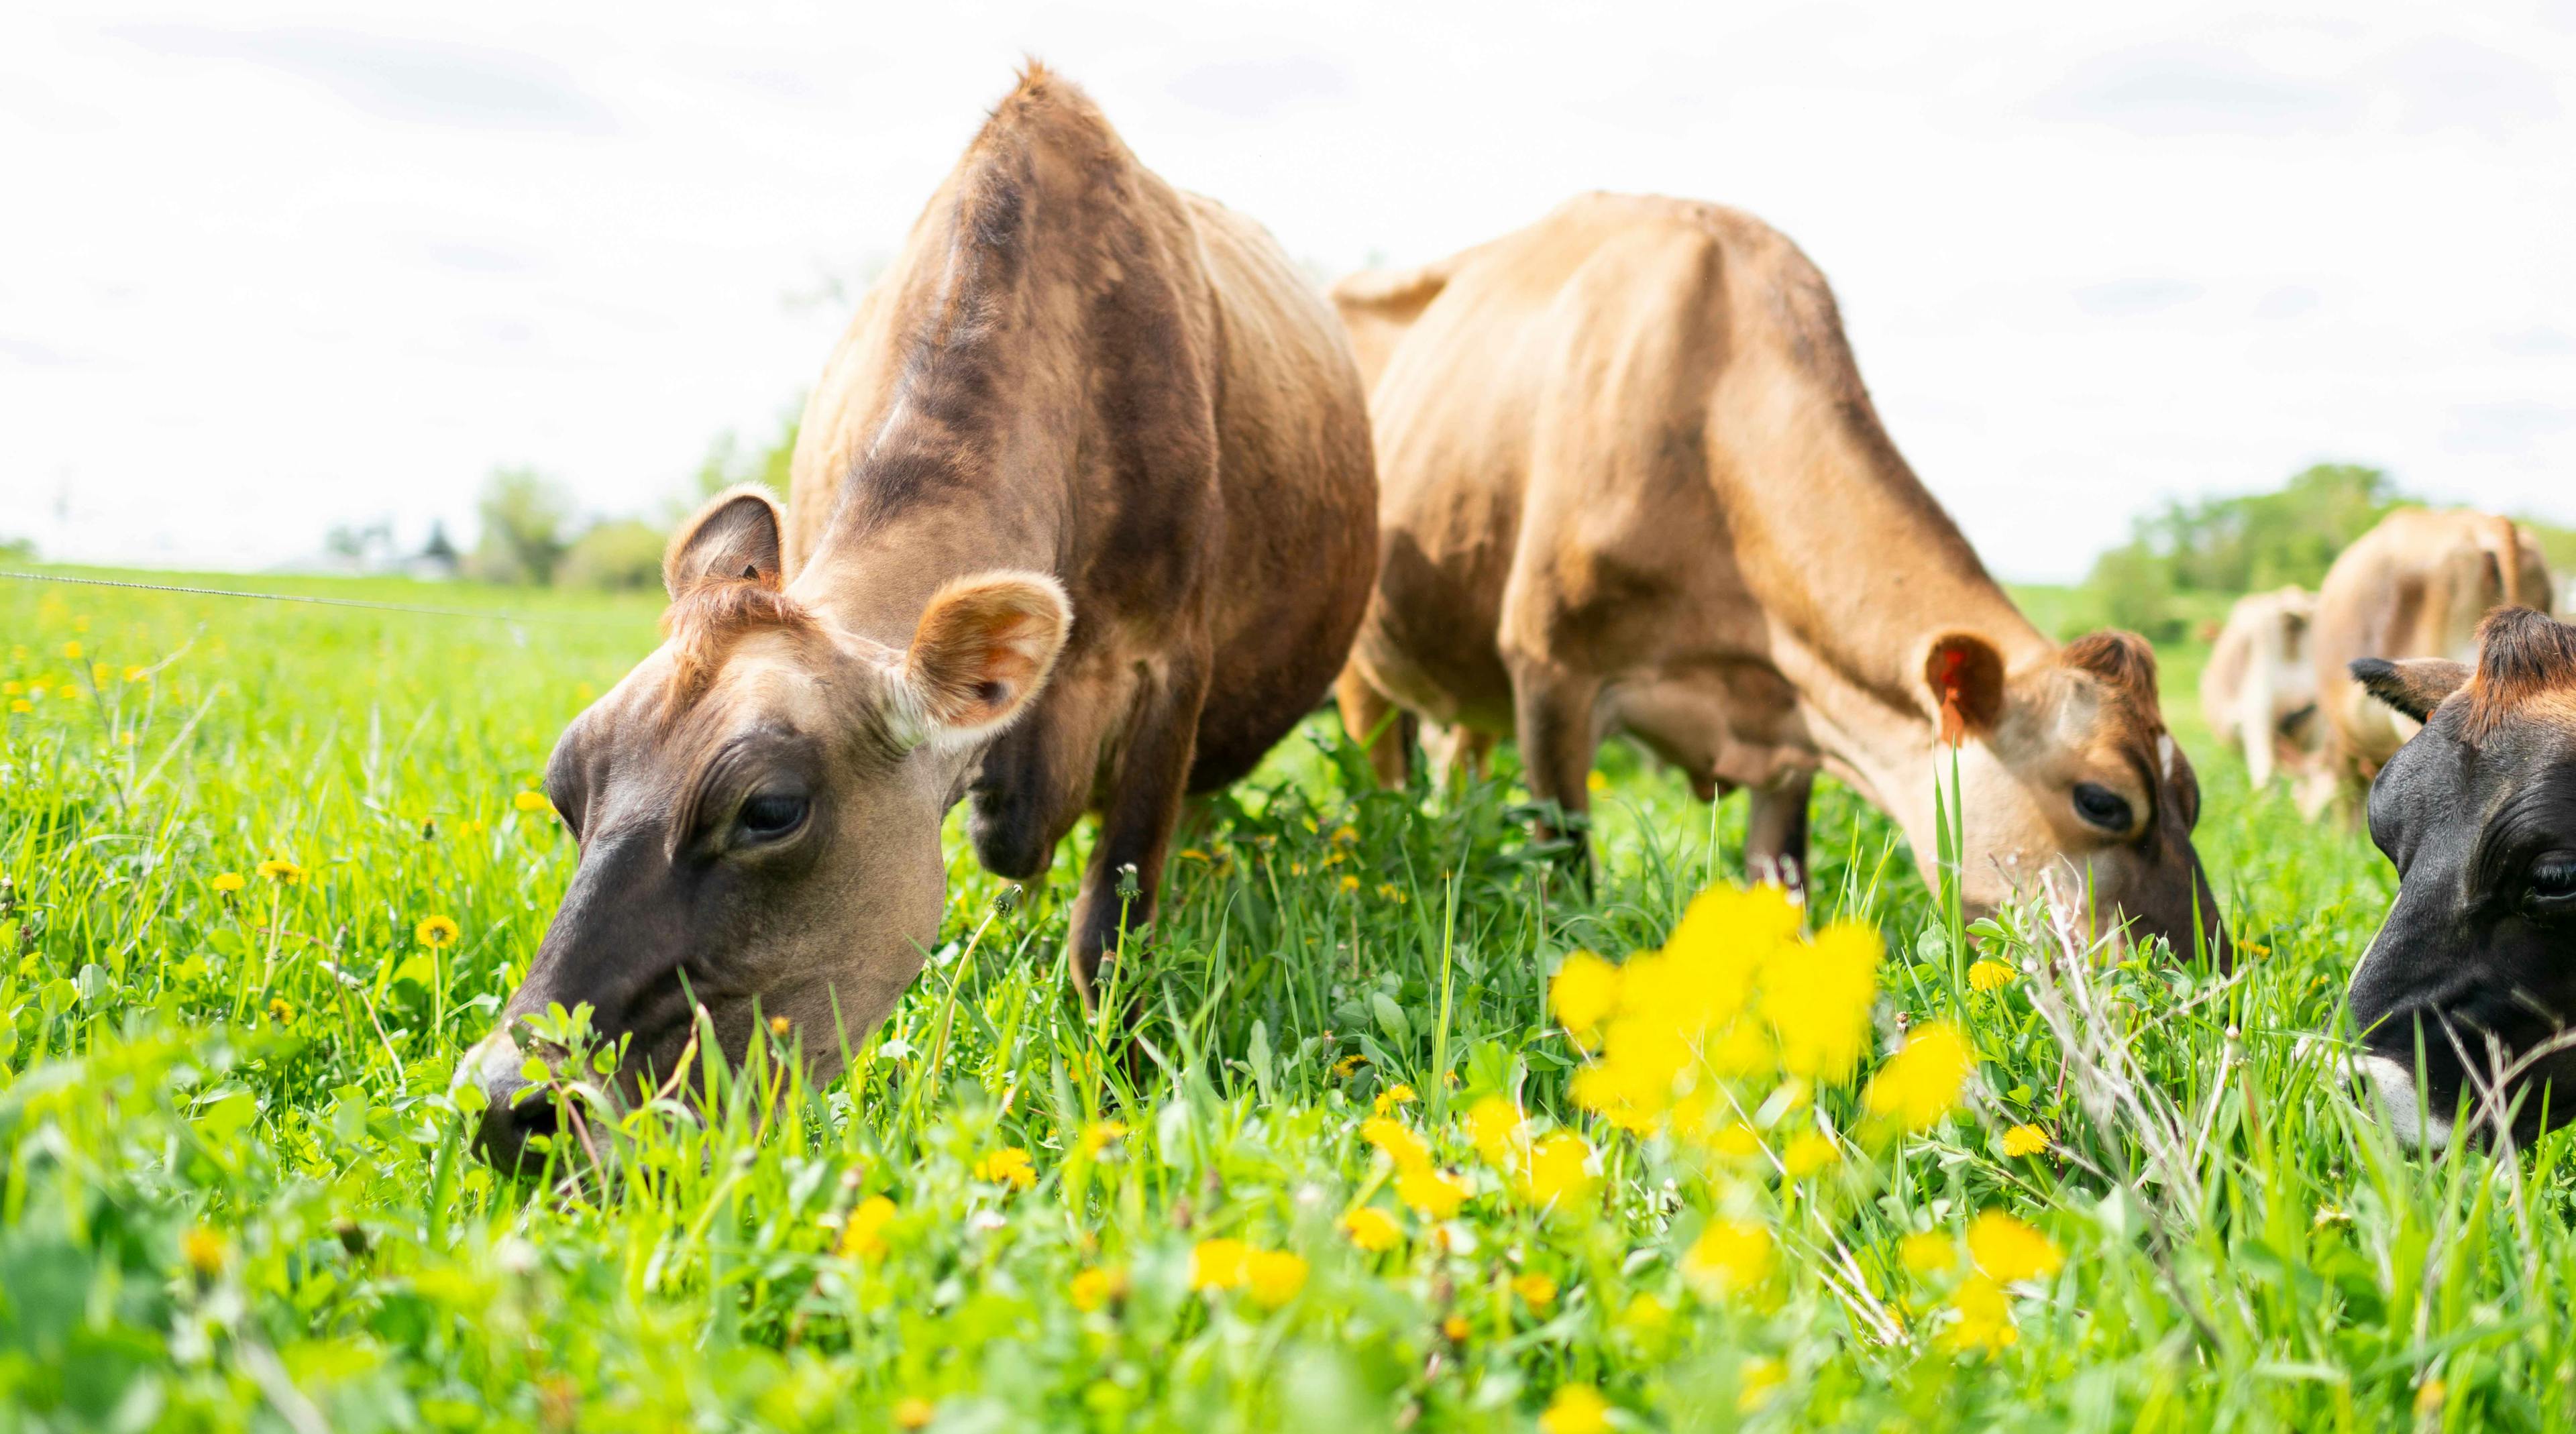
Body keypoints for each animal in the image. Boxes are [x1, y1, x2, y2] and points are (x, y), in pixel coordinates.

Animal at [464, 64, 1391, 1163]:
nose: (508, 1105)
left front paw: (1118, 1085)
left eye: (769, 810)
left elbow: (1110, 928)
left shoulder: (1170, 665)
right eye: (566, 789)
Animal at [1329, 190, 2215, 952]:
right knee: (1383, 778)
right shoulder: (1550, 673)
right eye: (2103, 801)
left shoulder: (1792, 734)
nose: (2209, 967)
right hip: (1364, 671)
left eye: (2196, 798)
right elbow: (1568, 875)